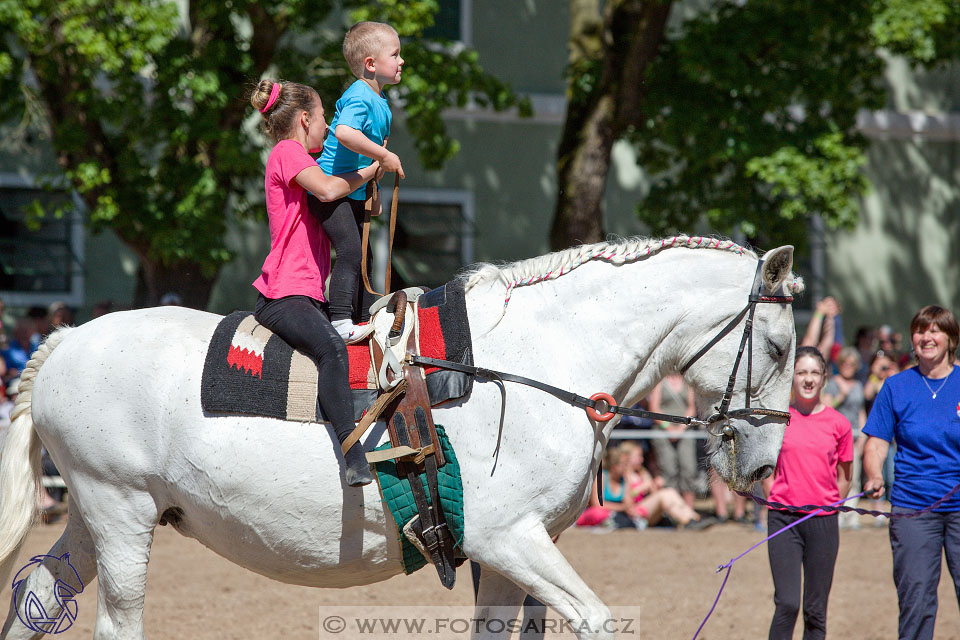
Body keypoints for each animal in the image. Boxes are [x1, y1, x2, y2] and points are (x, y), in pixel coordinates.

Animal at [0, 236, 804, 640]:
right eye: (777, 344)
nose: (766, 463)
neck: (541, 359)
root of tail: (64, 341)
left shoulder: (508, 554)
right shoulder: (509, 537)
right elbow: (600, 622)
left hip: (93, 516)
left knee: (38, 593)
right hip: (119, 511)